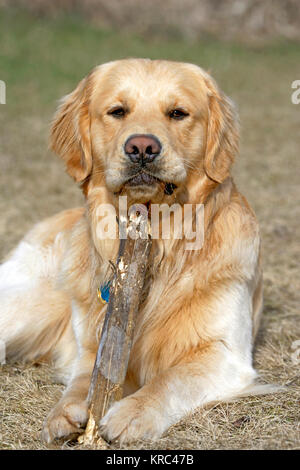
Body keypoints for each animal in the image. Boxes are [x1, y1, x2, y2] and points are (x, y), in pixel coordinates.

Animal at [0, 58, 268, 444]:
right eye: (117, 111)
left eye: (178, 113)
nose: (142, 147)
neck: (161, 245)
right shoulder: (93, 344)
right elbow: (84, 378)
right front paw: (66, 411)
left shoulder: (225, 354)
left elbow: (171, 379)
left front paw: (132, 413)